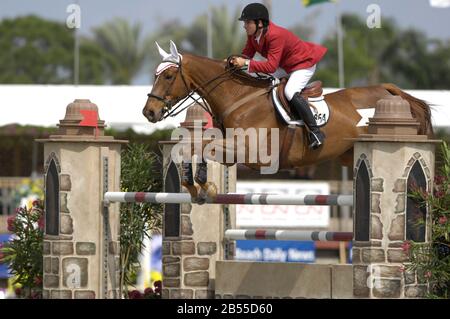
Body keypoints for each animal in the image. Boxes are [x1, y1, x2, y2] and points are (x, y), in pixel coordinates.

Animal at [143, 42, 432, 199]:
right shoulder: (231, 151)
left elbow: (202, 145)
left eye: (168, 76)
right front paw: (195, 185)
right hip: (348, 154)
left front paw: (204, 184)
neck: (240, 98)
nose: (149, 112)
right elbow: (195, 145)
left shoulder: (251, 151)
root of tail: (388, 90)